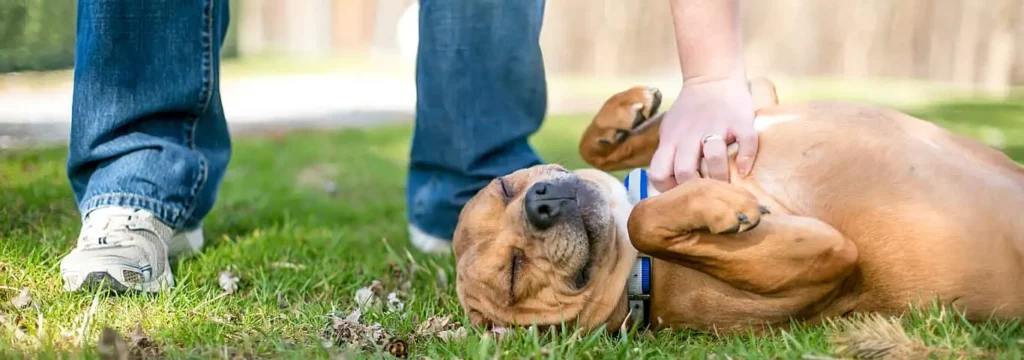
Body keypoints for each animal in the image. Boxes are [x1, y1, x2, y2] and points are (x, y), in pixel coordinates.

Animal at [454, 79, 1024, 335]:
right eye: (514, 271)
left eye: (503, 186)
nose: (540, 204)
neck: (639, 276)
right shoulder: (828, 261)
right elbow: (642, 220)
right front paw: (721, 206)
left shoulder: (750, 102)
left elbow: (618, 145)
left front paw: (623, 115)